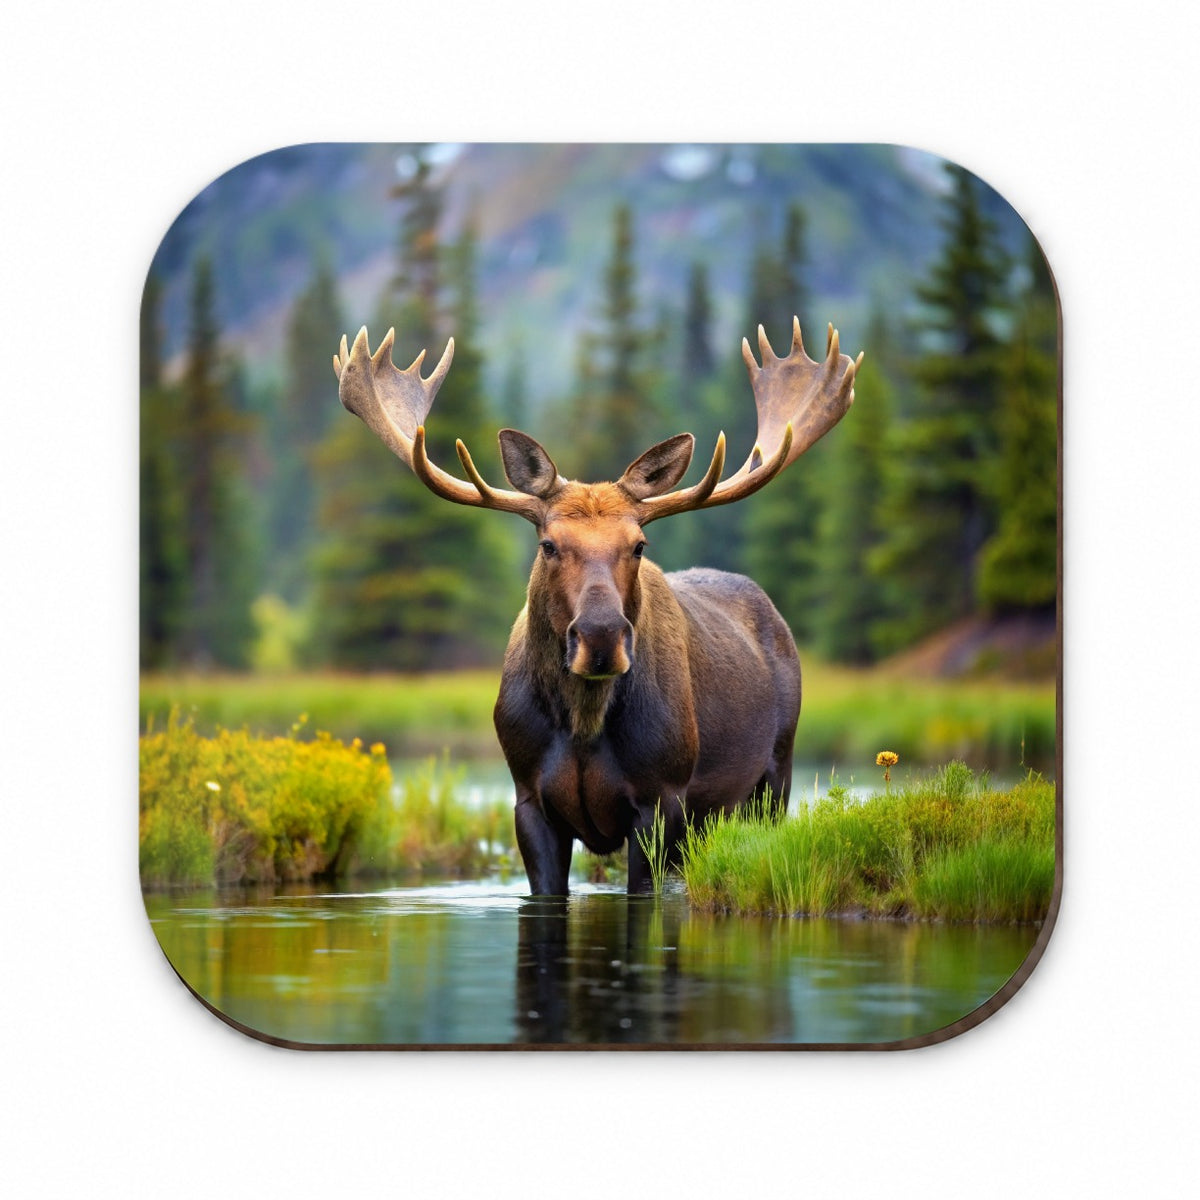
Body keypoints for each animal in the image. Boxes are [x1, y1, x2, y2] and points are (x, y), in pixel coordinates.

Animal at [332, 317, 861, 894]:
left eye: (639, 545)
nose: (602, 636)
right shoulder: (528, 801)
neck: (582, 726)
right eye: (548, 544)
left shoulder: (663, 800)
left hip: (774, 777)